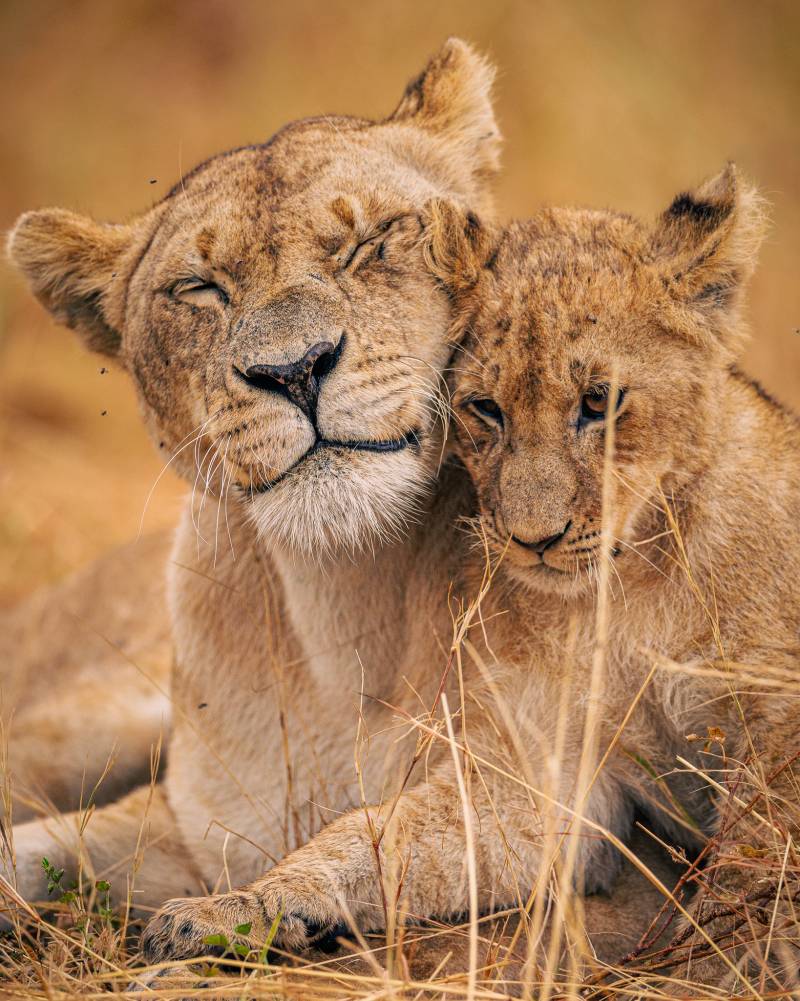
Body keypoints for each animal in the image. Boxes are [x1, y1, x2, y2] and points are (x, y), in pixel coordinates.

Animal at [5, 39, 683, 985]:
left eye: (370, 241)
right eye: (199, 287)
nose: (293, 368)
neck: (343, 607)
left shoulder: (567, 790)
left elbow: (380, 833)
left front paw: (244, 912)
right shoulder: (200, 823)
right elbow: (43, 846)